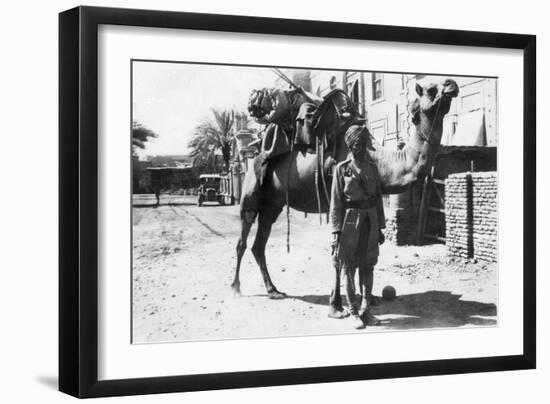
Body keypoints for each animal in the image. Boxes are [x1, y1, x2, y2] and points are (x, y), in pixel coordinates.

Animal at [231, 78, 460, 304]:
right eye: (431, 89)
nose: (452, 84)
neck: (380, 160)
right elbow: (342, 253)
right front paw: (343, 300)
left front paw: (367, 297)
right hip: (251, 193)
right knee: (243, 239)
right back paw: (236, 288)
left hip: (273, 204)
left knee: (258, 244)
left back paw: (273, 290)